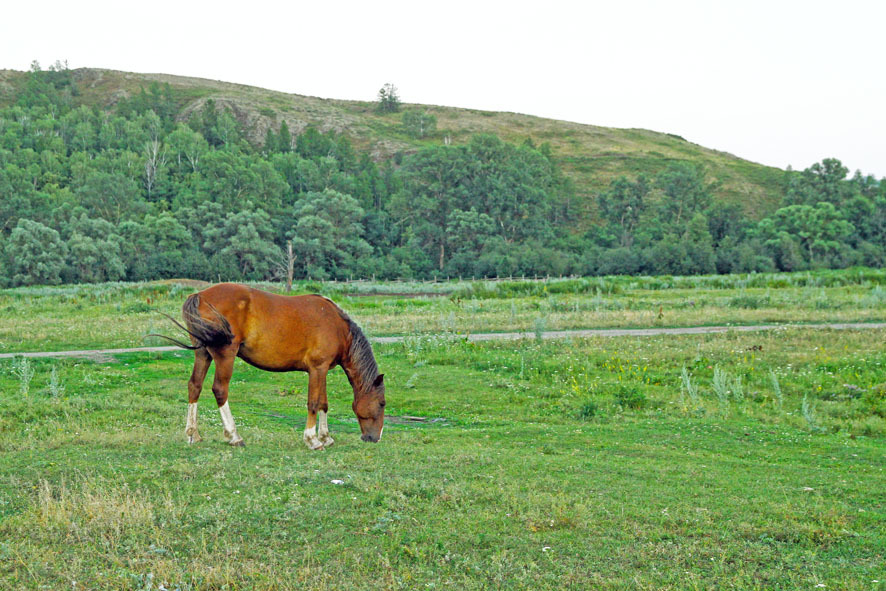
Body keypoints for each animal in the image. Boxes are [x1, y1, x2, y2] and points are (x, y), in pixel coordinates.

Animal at [163, 284, 386, 450]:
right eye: (382, 403)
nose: (374, 438)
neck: (337, 326)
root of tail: (200, 295)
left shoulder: (321, 371)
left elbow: (323, 403)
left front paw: (326, 437)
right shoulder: (317, 369)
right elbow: (314, 403)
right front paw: (313, 440)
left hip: (203, 354)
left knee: (195, 386)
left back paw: (193, 434)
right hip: (225, 355)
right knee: (220, 390)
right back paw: (234, 436)